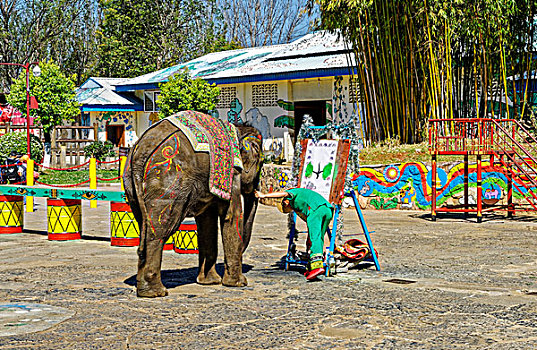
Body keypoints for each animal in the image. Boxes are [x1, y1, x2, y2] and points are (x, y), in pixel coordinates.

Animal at [122, 110, 264, 296]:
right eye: (261, 163)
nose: (255, 187)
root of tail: (139, 154)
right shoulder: (232, 173)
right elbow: (232, 216)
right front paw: (239, 284)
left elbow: (207, 221)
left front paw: (210, 282)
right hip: (168, 185)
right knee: (159, 231)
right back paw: (156, 292)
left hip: (131, 187)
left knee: (144, 227)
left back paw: (146, 289)